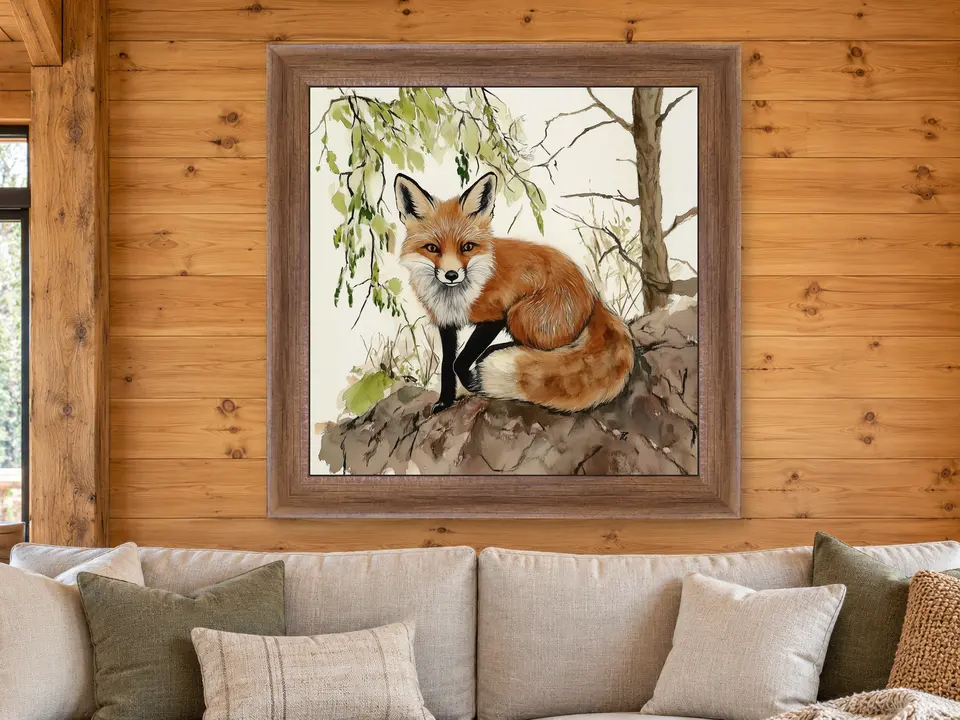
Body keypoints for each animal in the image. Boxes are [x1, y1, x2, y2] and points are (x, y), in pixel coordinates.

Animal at [395, 171, 636, 414]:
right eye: (432, 248)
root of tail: (592, 294)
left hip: (519, 315)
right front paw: (444, 401)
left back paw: (493, 352)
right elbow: (447, 365)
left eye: (467, 247)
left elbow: (458, 362)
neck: (453, 299)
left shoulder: (495, 316)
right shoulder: (445, 323)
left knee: (553, 346)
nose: (451, 274)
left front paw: (473, 382)